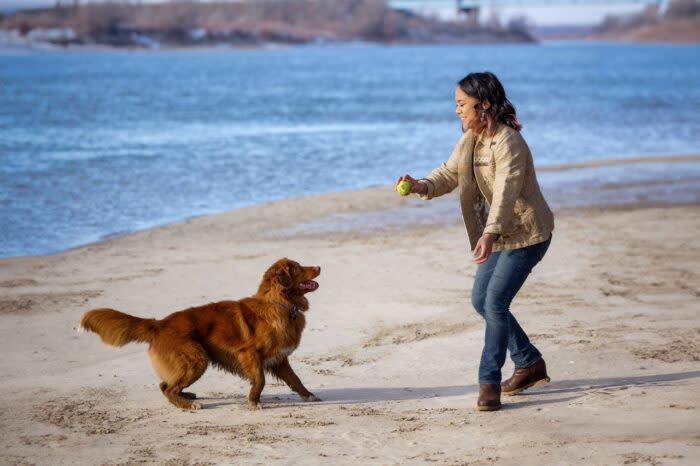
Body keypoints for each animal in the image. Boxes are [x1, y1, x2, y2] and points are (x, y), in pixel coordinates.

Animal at [80, 256, 322, 410]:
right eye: (297, 269)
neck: (280, 304)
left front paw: (309, 396)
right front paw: (253, 401)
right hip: (197, 359)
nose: (319, 266)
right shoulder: (250, 354)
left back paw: (186, 396)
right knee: (168, 387)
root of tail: (159, 324)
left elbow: (295, 380)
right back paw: (189, 404)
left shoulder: (279, 359)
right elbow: (260, 380)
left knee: (165, 385)